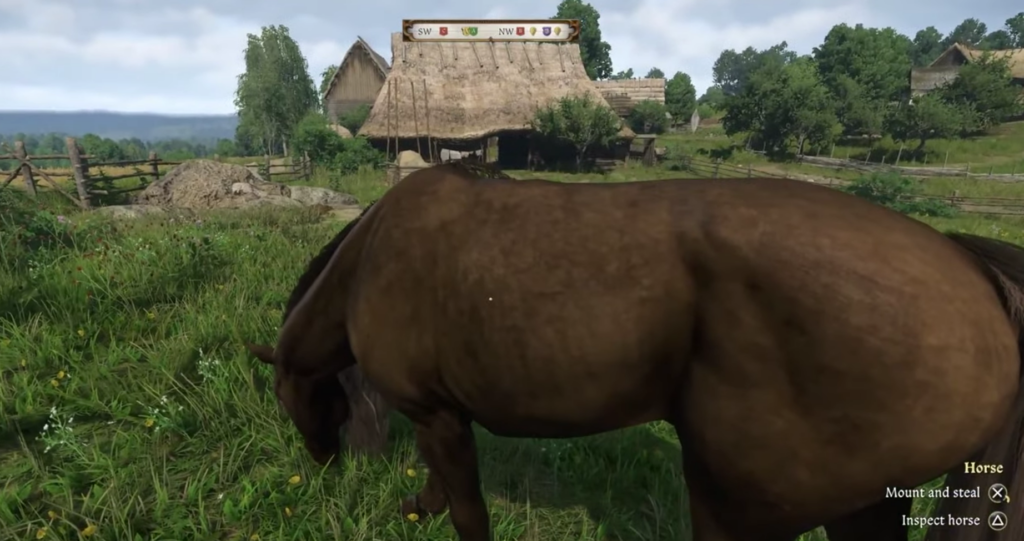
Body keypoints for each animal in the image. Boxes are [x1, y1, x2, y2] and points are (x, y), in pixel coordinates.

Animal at [246, 163, 1024, 541]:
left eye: (289, 398)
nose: (325, 467)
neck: (373, 258)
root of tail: (971, 268)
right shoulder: (441, 419)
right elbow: (444, 491)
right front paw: (417, 503)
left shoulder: (436, 414)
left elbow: (468, 510)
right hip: (863, 507)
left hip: (741, 507)